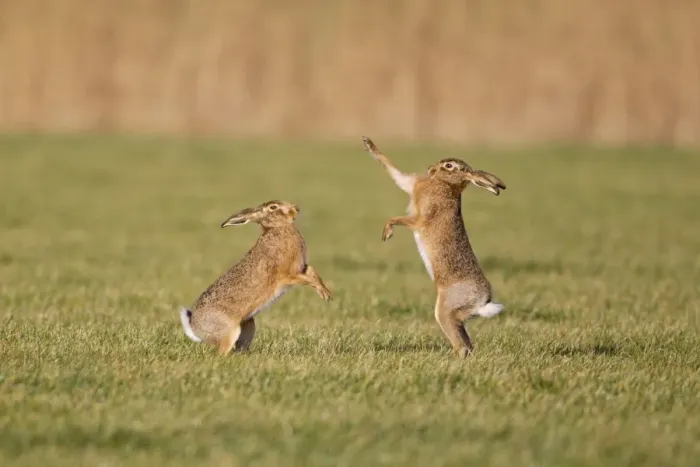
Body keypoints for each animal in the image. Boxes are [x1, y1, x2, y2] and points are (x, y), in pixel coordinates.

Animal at [179, 200, 332, 355]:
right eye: (273, 207)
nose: (296, 209)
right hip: (229, 331)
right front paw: (324, 293)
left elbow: (312, 272)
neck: (276, 227)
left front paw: (326, 293)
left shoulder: (301, 267)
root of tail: (194, 327)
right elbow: (305, 279)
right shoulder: (286, 275)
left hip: (248, 325)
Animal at [361, 137, 506, 358]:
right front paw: (369, 144)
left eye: (449, 166)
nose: (430, 169)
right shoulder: (411, 185)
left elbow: (398, 218)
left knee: (461, 345)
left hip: (445, 310)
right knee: (467, 344)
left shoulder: (420, 219)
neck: (445, 184)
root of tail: (483, 302)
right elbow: (395, 172)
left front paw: (387, 232)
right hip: (457, 317)